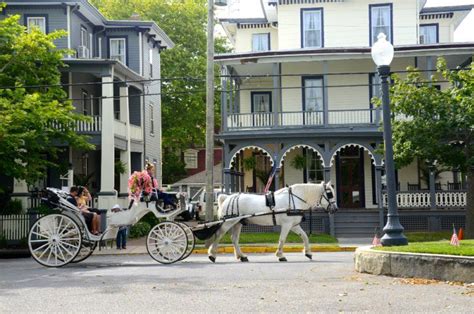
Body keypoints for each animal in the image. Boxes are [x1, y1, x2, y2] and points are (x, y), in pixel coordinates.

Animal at [207, 182, 336, 262]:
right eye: (330, 194)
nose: (335, 208)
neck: (295, 199)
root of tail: (227, 197)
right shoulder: (287, 224)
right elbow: (282, 239)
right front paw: (280, 255)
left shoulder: (294, 225)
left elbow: (305, 236)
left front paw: (308, 253)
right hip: (228, 222)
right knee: (218, 235)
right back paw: (212, 255)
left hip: (238, 223)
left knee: (234, 239)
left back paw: (242, 256)